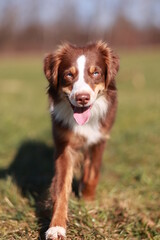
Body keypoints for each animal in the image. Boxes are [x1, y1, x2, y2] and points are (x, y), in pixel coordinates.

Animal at [43, 40, 119, 239]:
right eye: (69, 74)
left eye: (96, 73)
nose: (82, 98)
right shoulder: (64, 145)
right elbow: (61, 189)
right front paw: (56, 227)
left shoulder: (99, 139)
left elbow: (92, 173)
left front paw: (87, 201)